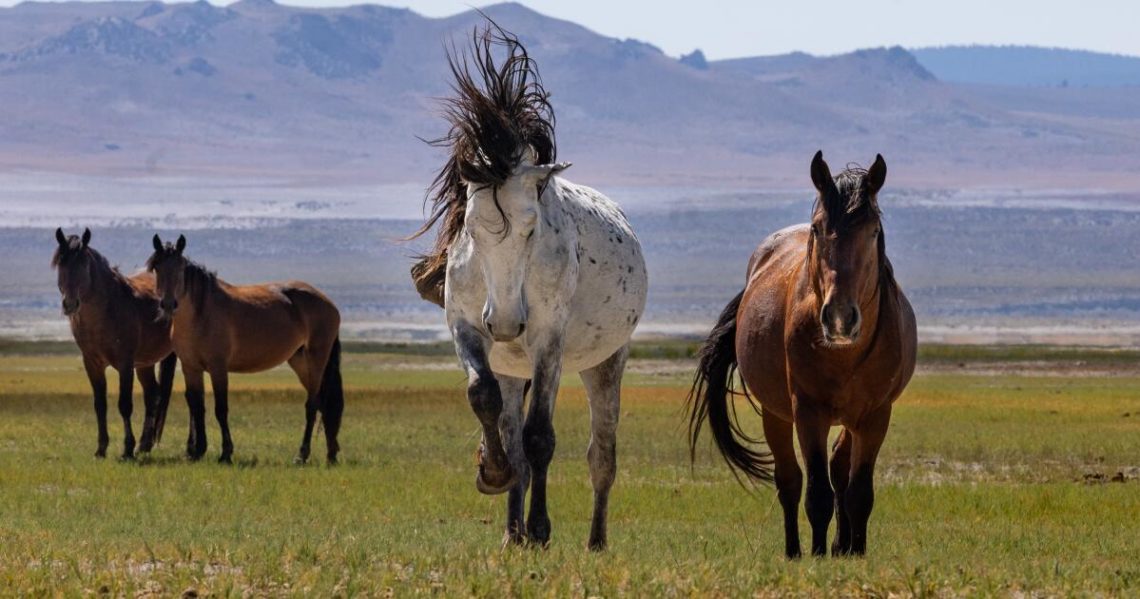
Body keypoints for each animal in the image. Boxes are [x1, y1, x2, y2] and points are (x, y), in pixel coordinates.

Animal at [52, 228, 178, 459]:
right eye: (60, 264)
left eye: (83, 265)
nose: (70, 304)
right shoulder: (92, 363)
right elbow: (100, 404)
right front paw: (101, 449)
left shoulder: (125, 363)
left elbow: (124, 405)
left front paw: (127, 449)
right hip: (145, 363)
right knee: (152, 394)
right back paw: (144, 445)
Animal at [146, 234, 344, 465]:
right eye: (157, 267)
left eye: (180, 267)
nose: (168, 304)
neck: (200, 314)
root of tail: (329, 303)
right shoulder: (191, 367)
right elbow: (197, 406)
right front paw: (198, 451)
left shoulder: (218, 367)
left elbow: (221, 409)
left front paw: (226, 453)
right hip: (300, 361)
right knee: (324, 403)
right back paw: (331, 454)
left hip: (316, 360)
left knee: (312, 405)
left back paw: (301, 455)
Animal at [409, 24, 648, 550]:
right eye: (468, 228)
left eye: (532, 227)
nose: (503, 322)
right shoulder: (466, 329)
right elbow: (484, 399)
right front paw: (491, 473)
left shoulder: (547, 342)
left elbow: (541, 437)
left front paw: (540, 528)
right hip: (513, 366)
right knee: (512, 430)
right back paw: (511, 532)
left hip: (604, 364)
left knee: (601, 456)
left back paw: (593, 540)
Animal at [687, 151, 917, 558]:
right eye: (817, 228)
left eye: (873, 231)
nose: (840, 316)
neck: (844, 354)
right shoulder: (808, 412)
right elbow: (817, 494)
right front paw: (818, 554)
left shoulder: (876, 415)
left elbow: (859, 492)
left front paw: (856, 551)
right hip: (776, 414)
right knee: (790, 482)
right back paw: (795, 550)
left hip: (851, 419)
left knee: (839, 469)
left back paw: (843, 545)